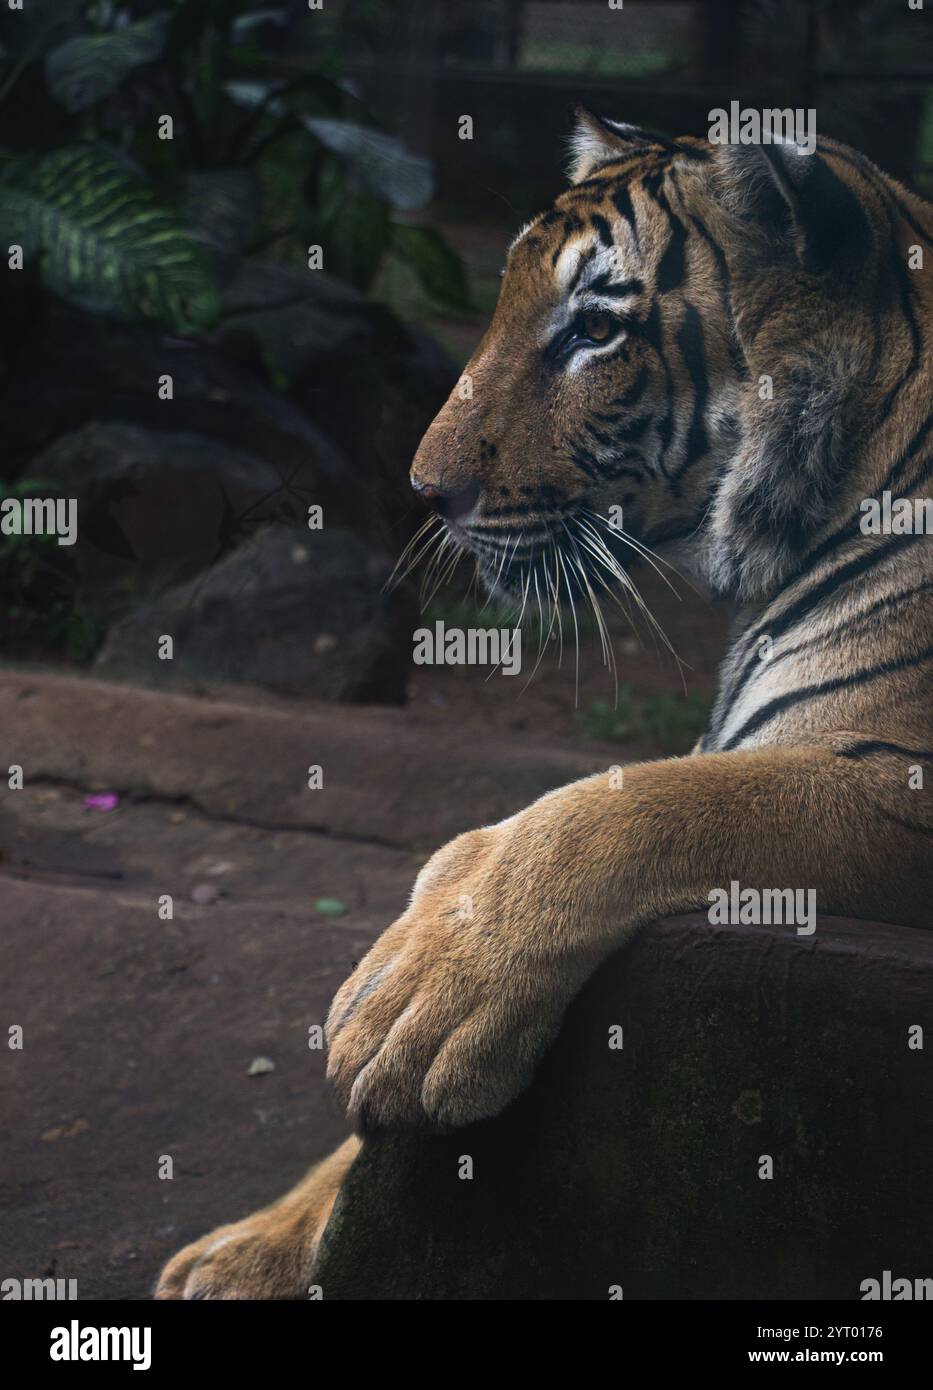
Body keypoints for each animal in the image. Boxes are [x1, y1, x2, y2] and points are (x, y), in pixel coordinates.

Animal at [156, 110, 933, 1299]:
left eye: (594, 331)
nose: (425, 493)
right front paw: (247, 1245)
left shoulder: (897, 780)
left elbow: (623, 807)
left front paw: (419, 1002)